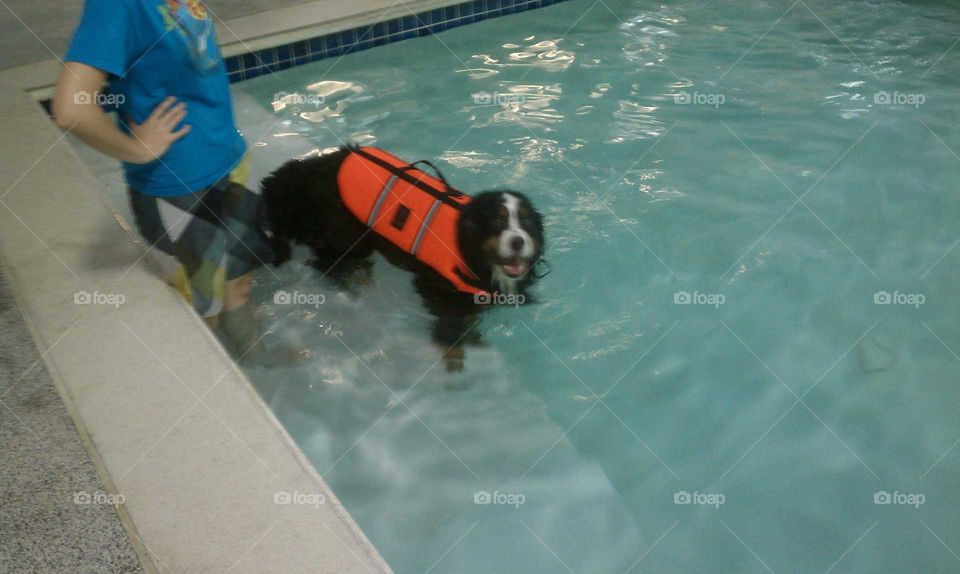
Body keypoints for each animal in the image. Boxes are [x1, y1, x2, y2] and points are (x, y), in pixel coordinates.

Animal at [262, 146, 544, 374]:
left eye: (526, 221)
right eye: (497, 221)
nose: (518, 241)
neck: (468, 246)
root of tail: (304, 169)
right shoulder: (436, 289)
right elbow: (451, 331)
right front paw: (455, 359)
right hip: (346, 236)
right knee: (328, 264)